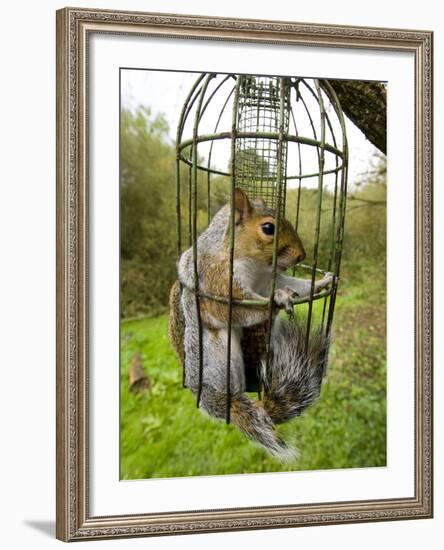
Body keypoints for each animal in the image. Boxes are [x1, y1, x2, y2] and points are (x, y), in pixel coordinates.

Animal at [169, 190, 332, 462]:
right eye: (268, 228)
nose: (301, 256)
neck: (255, 265)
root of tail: (207, 394)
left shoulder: (270, 279)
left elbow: (294, 285)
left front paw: (321, 282)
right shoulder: (218, 279)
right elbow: (237, 308)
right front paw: (278, 300)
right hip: (221, 359)